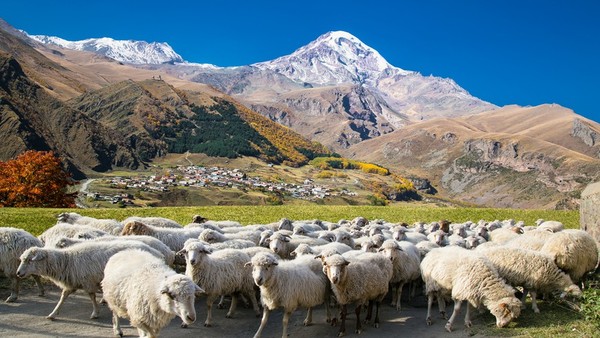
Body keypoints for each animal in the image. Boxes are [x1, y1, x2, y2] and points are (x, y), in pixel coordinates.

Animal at [17, 240, 163, 320]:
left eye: (29, 260)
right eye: (23, 259)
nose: (18, 273)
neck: (66, 261)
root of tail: (156, 251)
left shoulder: (88, 281)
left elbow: (92, 296)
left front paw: (95, 313)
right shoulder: (71, 283)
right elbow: (63, 297)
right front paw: (53, 314)